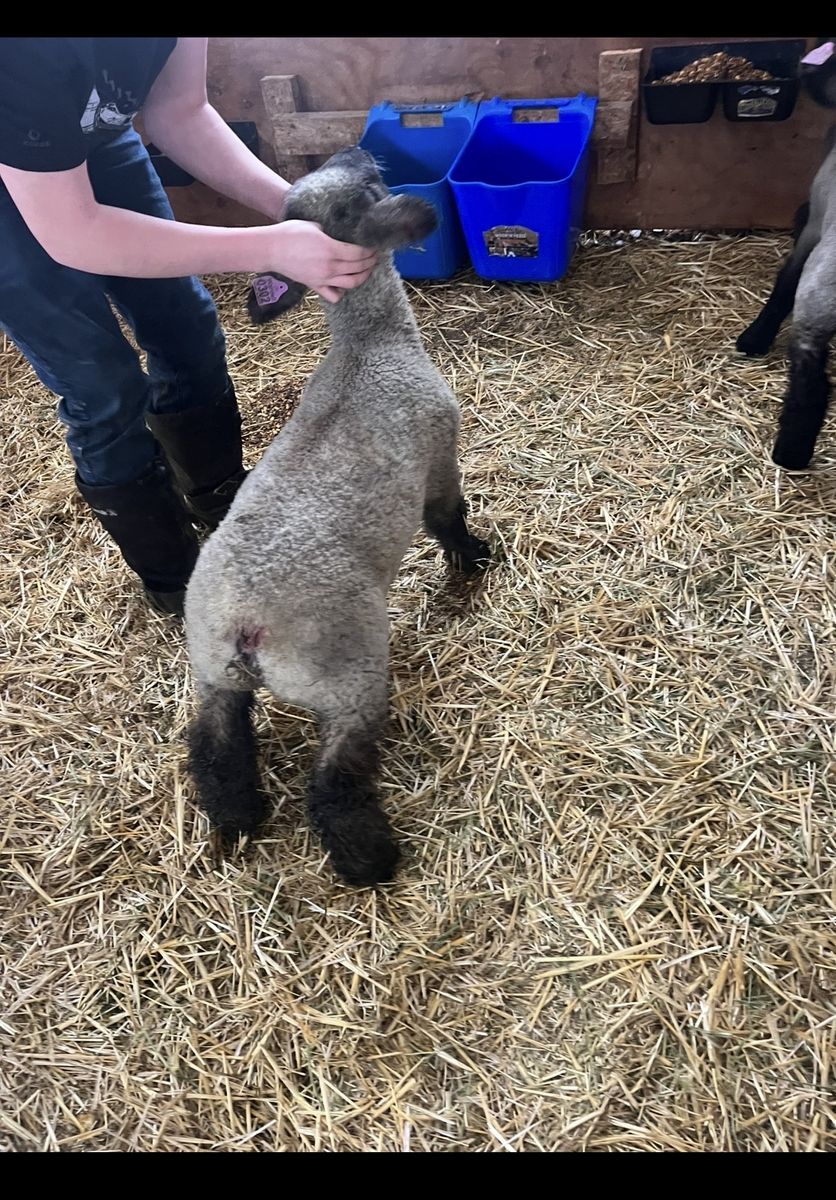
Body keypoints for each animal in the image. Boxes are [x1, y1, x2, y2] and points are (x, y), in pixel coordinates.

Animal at [183, 147, 491, 887]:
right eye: (368, 190)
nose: (358, 151)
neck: (369, 343)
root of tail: (244, 626)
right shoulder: (441, 451)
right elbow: (447, 517)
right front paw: (475, 558)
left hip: (210, 673)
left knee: (215, 746)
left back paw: (237, 820)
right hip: (350, 673)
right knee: (333, 779)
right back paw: (369, 858)